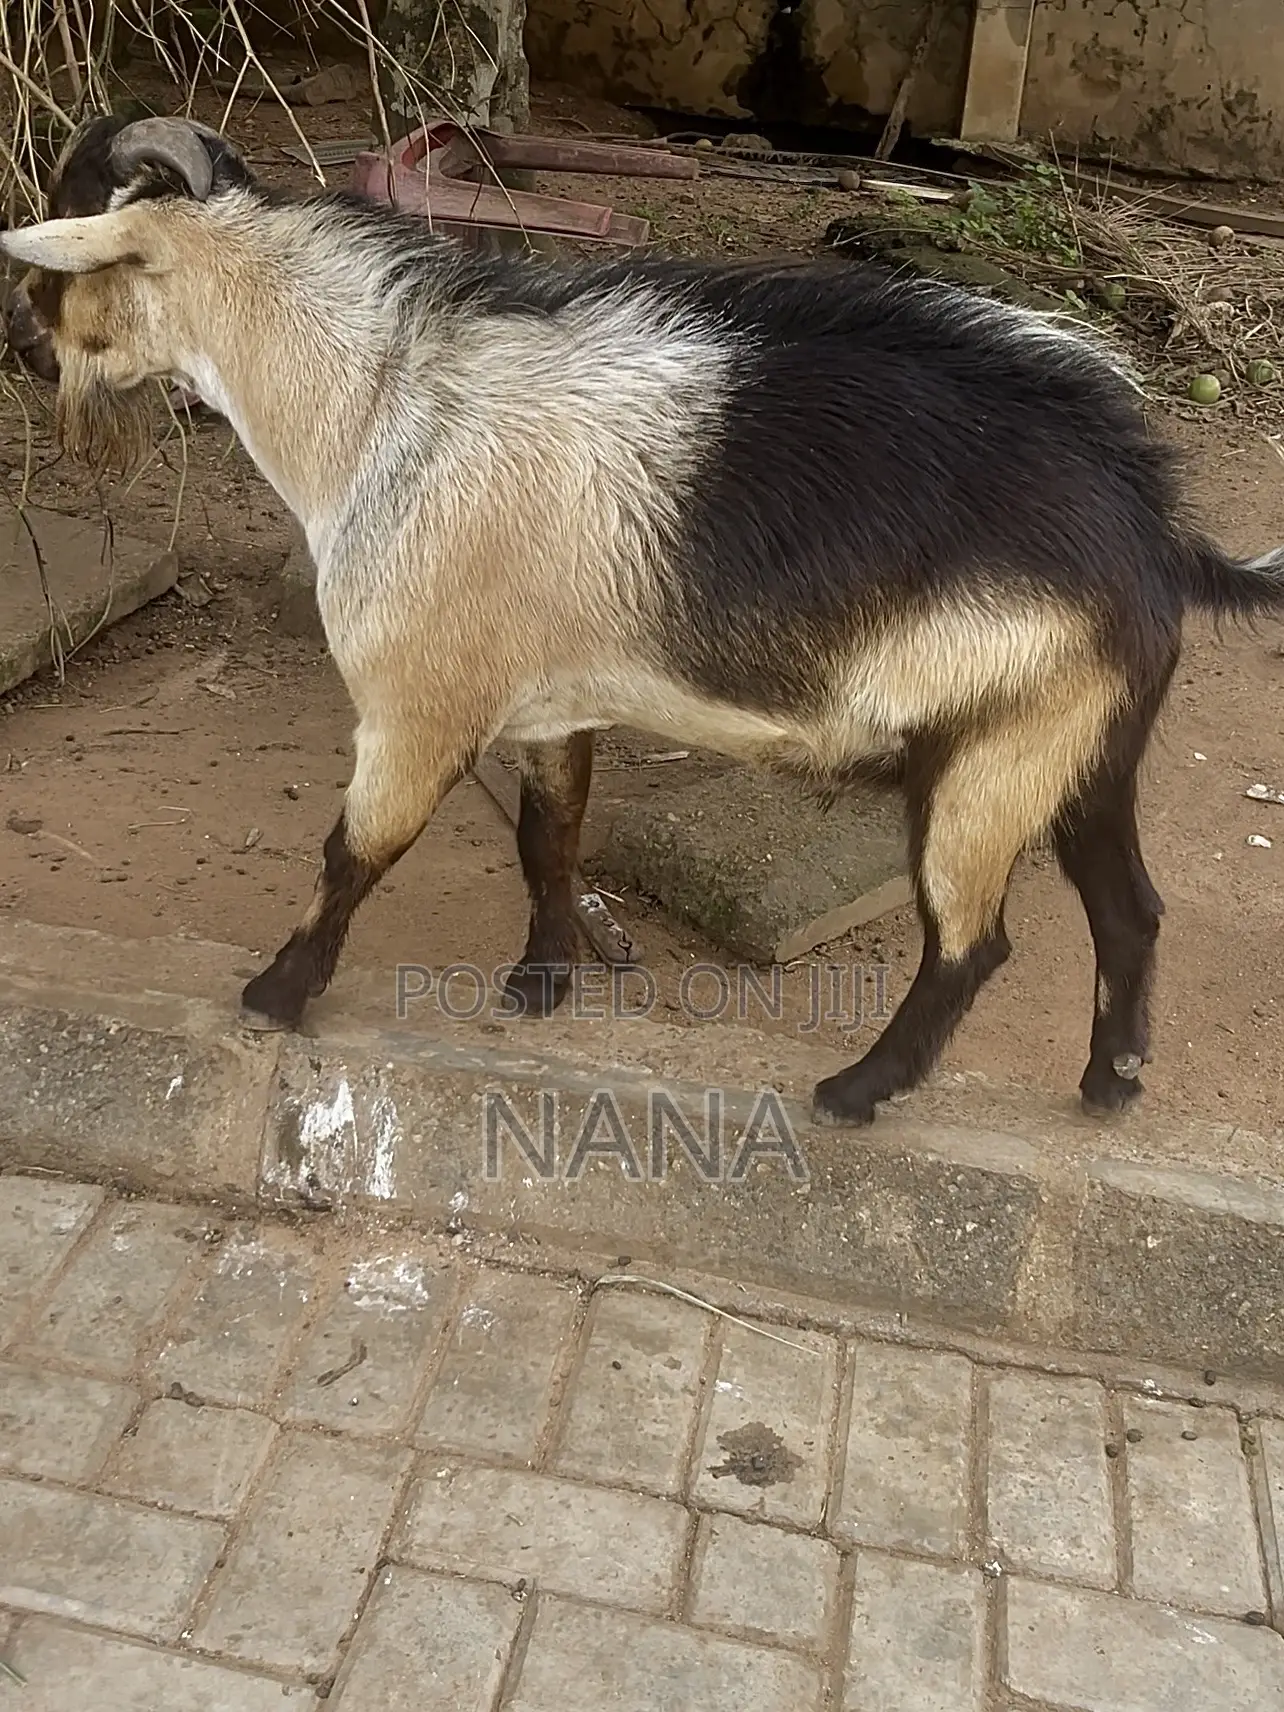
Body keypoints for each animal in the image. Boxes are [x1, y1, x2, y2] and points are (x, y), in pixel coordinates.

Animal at [5, 114, 1284, 1128]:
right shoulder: (548, 706)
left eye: (63, 265)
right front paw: (541, 983)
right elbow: (549, 841)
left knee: (976, 942)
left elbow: (356, 850)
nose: (21, 351)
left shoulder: (419, 703)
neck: (376, 398)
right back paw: (1110, 1081)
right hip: (1080, 747)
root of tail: (1155, 534)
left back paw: (857, 1090)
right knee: (1132, 912)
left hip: (989, 764)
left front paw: (275, 992)